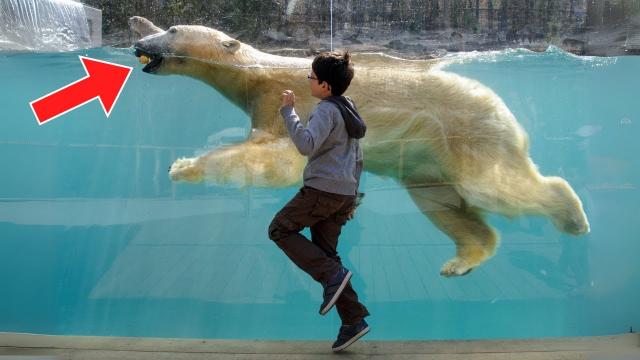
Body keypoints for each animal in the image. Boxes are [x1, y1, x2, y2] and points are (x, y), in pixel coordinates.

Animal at [134, 18, 592, 278]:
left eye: (172, 30)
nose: (141, 42)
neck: (256, 69)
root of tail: (499, 105)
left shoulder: (283, 98)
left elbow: (280, 158)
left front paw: (182, 166)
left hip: (467, 134)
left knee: (497, 187)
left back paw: (573, 216)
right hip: (426, 160)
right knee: (441, 202)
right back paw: (460, 261)